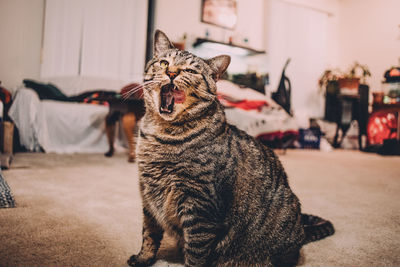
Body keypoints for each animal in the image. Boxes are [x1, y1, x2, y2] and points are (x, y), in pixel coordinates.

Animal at [126, 30, 332, 266]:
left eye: (190, 70)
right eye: (164, 62)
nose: (171, 72)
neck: (161, 136)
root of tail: (301, 230)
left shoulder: (200, 207)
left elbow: (195, 254)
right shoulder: (148, 196)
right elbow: (149, 234)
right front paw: (143, 258)